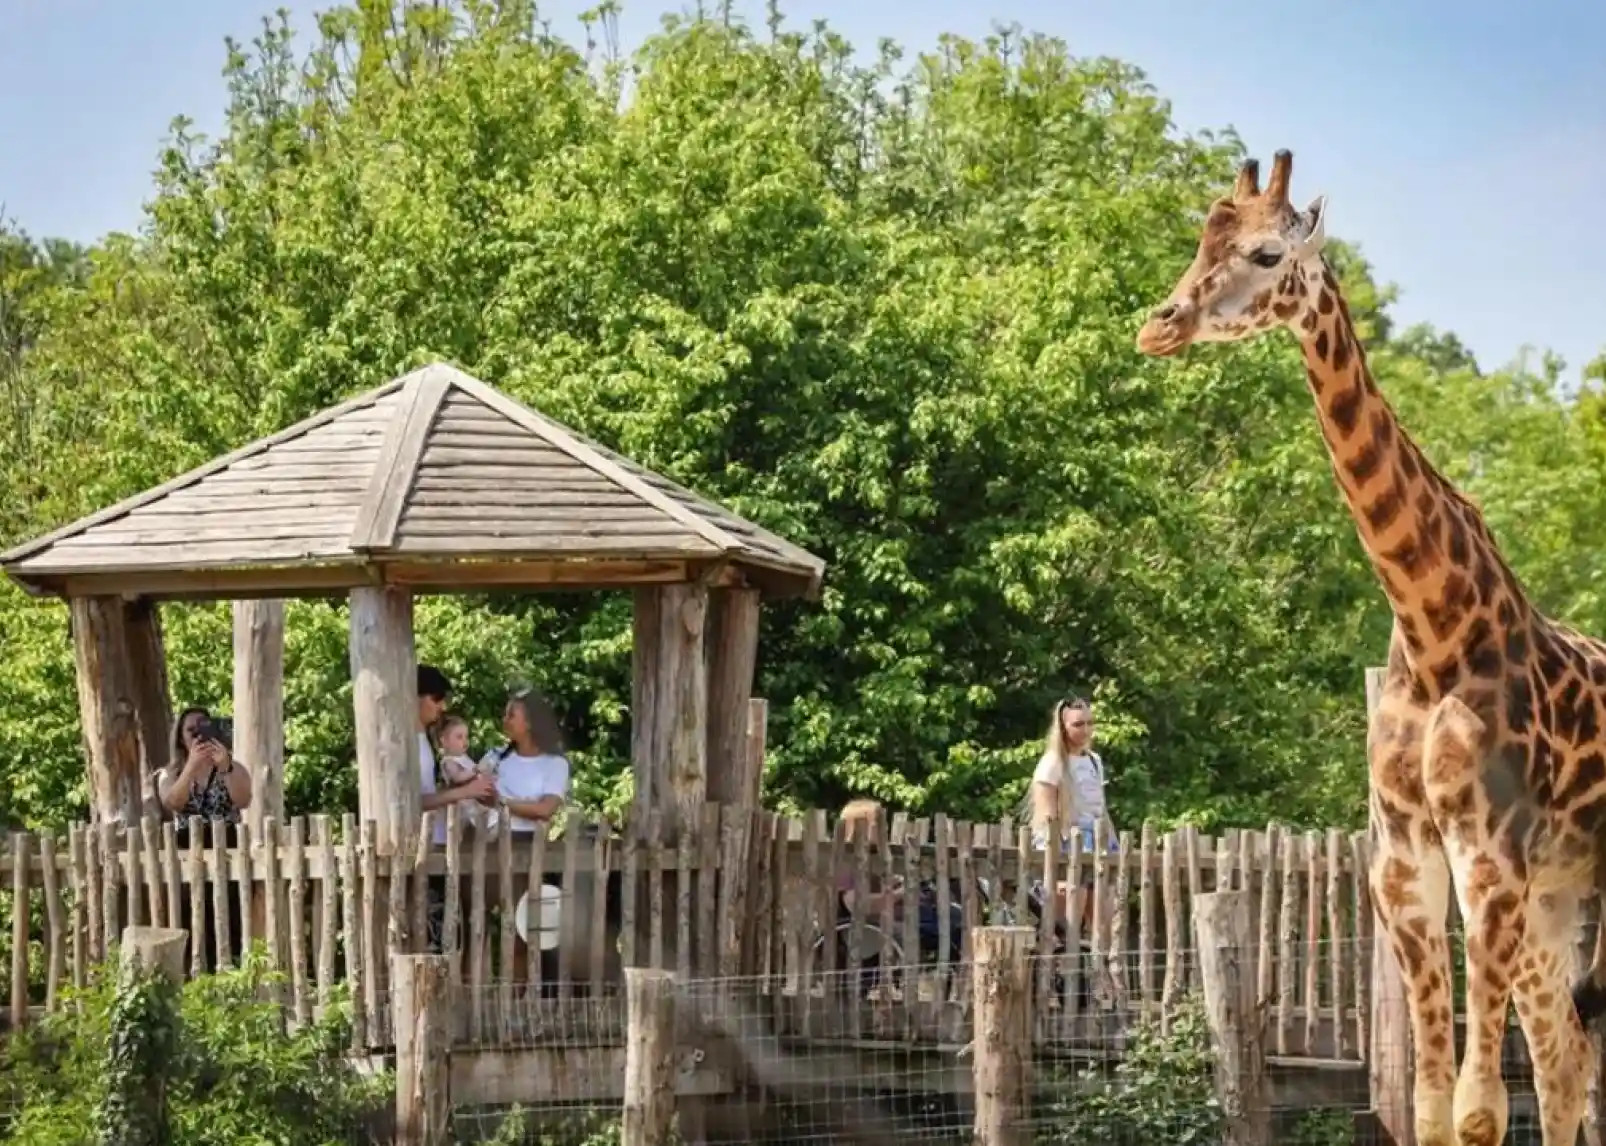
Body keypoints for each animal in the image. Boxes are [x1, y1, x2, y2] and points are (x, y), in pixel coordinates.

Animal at [1132, 148, 1606, 1146]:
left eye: (1268, 253)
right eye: (1202, 240)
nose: (1161, 325)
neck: (1434, 628)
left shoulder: (1487, 858)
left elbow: (1477, 1110)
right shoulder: (1404, 860)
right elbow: (1431, 1106)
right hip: (1557, 896)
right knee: (1564, 1064)